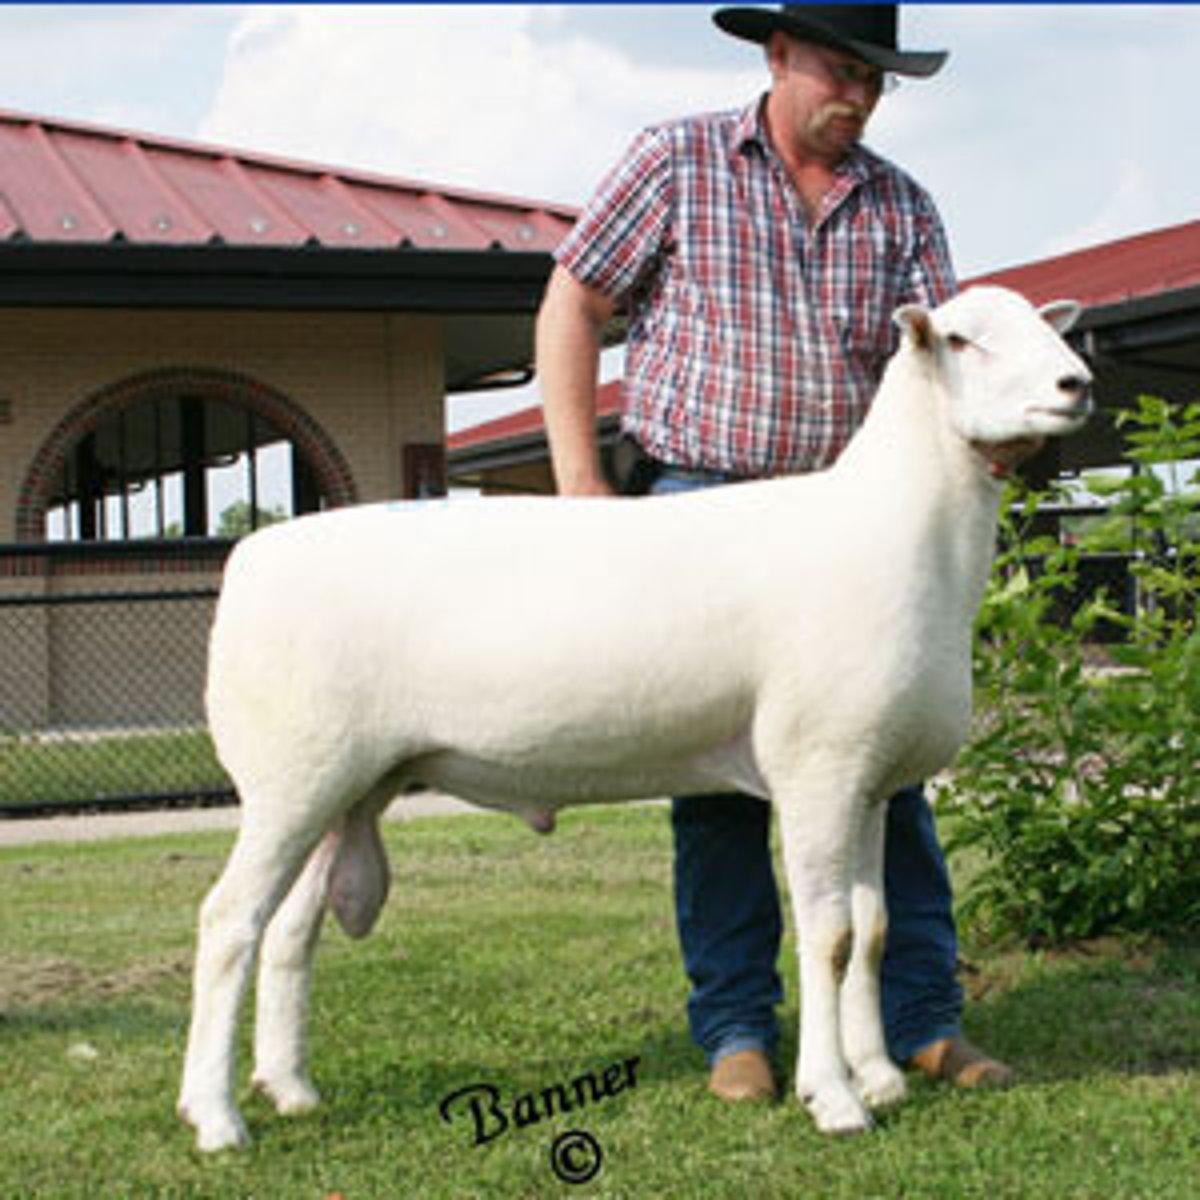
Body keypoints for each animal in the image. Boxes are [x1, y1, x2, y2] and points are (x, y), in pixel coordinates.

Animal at [178, 285, 1091, 1150]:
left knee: (289, 931)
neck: (897, 532)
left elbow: (870, 930)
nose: (1074, 385)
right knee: (227, 921)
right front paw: (832, 1097)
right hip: (290, 775)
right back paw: (216, 1118)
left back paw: (289, 1088)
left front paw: (878, 1076)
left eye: (1043, 329)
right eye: (961, 340)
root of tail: (251, 558)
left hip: (349, 783)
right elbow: (828, 937)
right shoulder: (817, 766)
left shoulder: (872, 780)